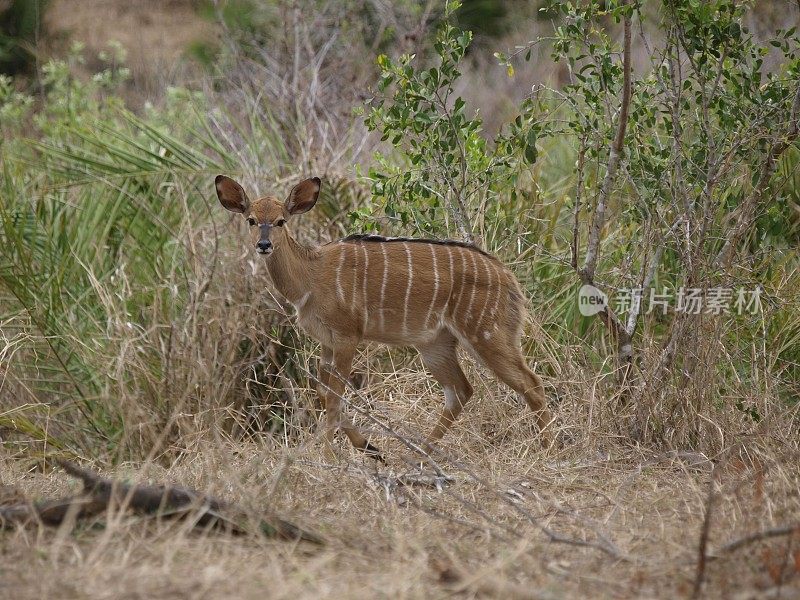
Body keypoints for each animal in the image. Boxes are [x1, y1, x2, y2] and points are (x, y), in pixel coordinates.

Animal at [216, 173, 552, 460]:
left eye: (280, 221)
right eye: (251, 220)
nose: (263, 245)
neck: (311, 276)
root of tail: (509, 279)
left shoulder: (348, 336)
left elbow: (336, 394)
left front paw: (331, 455)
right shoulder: (327, 342)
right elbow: (324, 392)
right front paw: (370, 448)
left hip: (486, 334)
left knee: (531, 383)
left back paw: (547, 449)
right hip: (436, 344)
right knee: (460, 391)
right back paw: (418, 454)